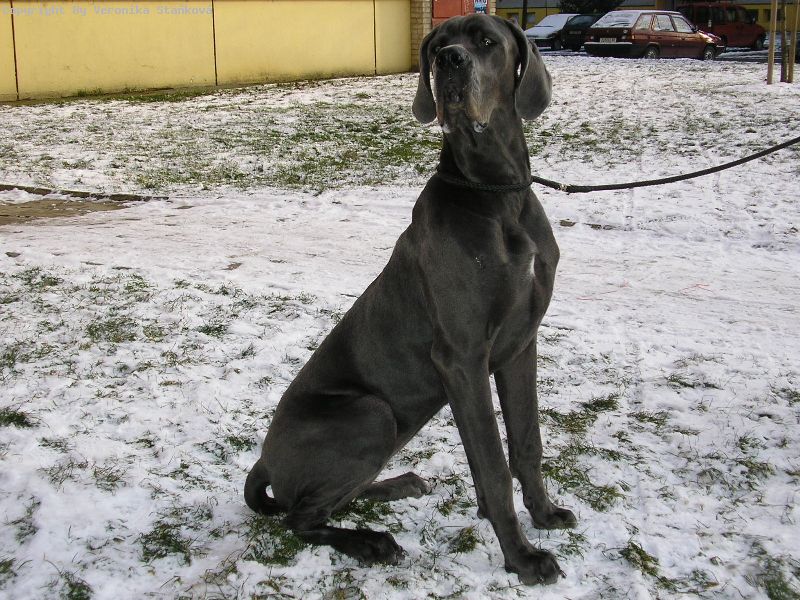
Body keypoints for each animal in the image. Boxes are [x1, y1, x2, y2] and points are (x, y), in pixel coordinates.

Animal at [245, 14, 576, 585]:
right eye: (437, 45)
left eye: (485, 40)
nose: (449, 61)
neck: (496, 194)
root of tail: (265, 460)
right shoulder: (462, 356)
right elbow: (493, 463)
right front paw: (522, 557)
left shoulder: (519, 345)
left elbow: (525, 443)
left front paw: (544, 514)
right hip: (371, 414)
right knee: (298, 518)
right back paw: (371, 542)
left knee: (335, 499)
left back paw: (396, 485)